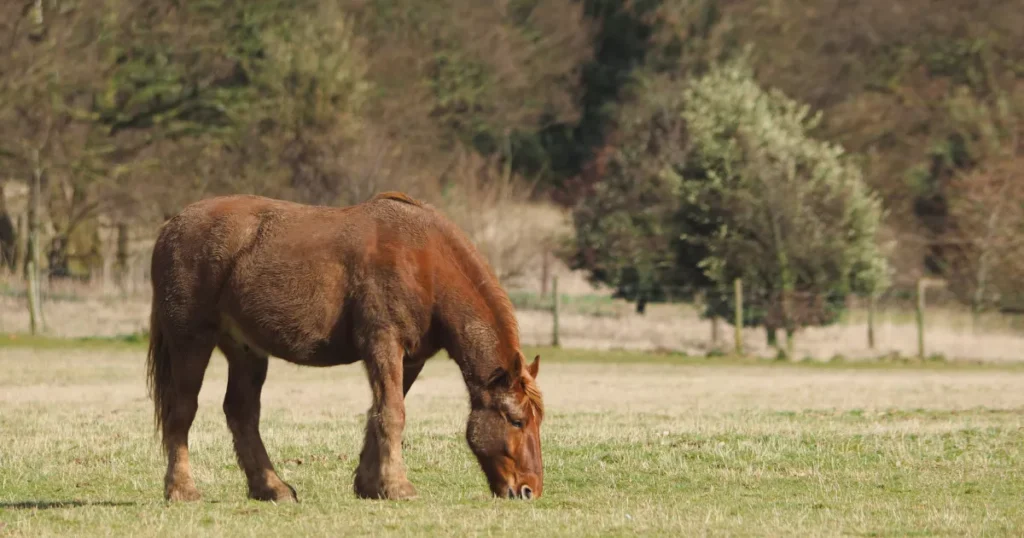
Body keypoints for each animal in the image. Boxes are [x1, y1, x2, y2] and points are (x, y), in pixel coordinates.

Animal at [148, 191, 544, 504]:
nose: (530, 490)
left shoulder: (410, 359)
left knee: (241, 413)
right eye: (516, 420)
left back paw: (271, 488)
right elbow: (393, 413)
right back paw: (182, 490)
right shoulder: (383, 344)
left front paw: (372, 485)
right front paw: (398, 487)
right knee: (182, 411)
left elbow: (380, 413)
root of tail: (171, 227)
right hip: (191, 342)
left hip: (246, 351)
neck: (424, 262)